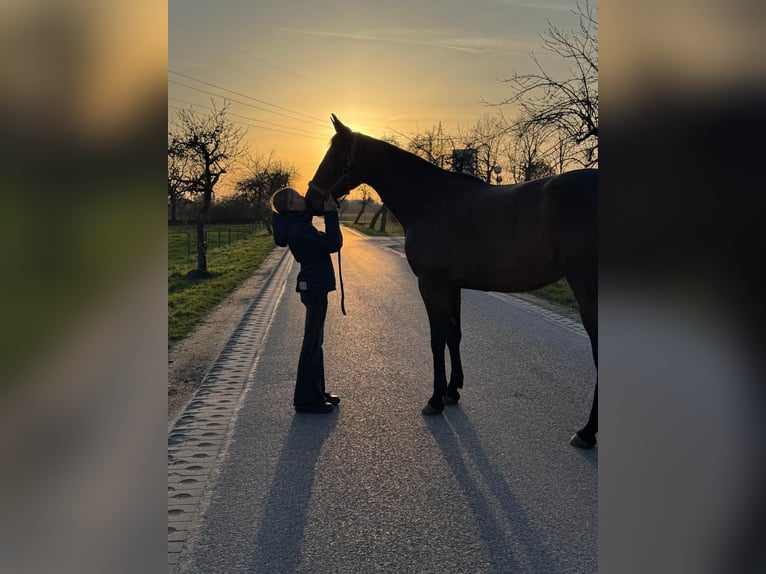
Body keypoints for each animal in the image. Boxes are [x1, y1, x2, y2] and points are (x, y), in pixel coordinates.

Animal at [307, 114, 598, 448]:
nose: (310, 200)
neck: (428, 199)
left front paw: (434, 399)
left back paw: (587, 432)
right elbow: (452, 335)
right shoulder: (452, 287)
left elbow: (436, 339)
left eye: (336, 155)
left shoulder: (430, 284)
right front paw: (451, 391)